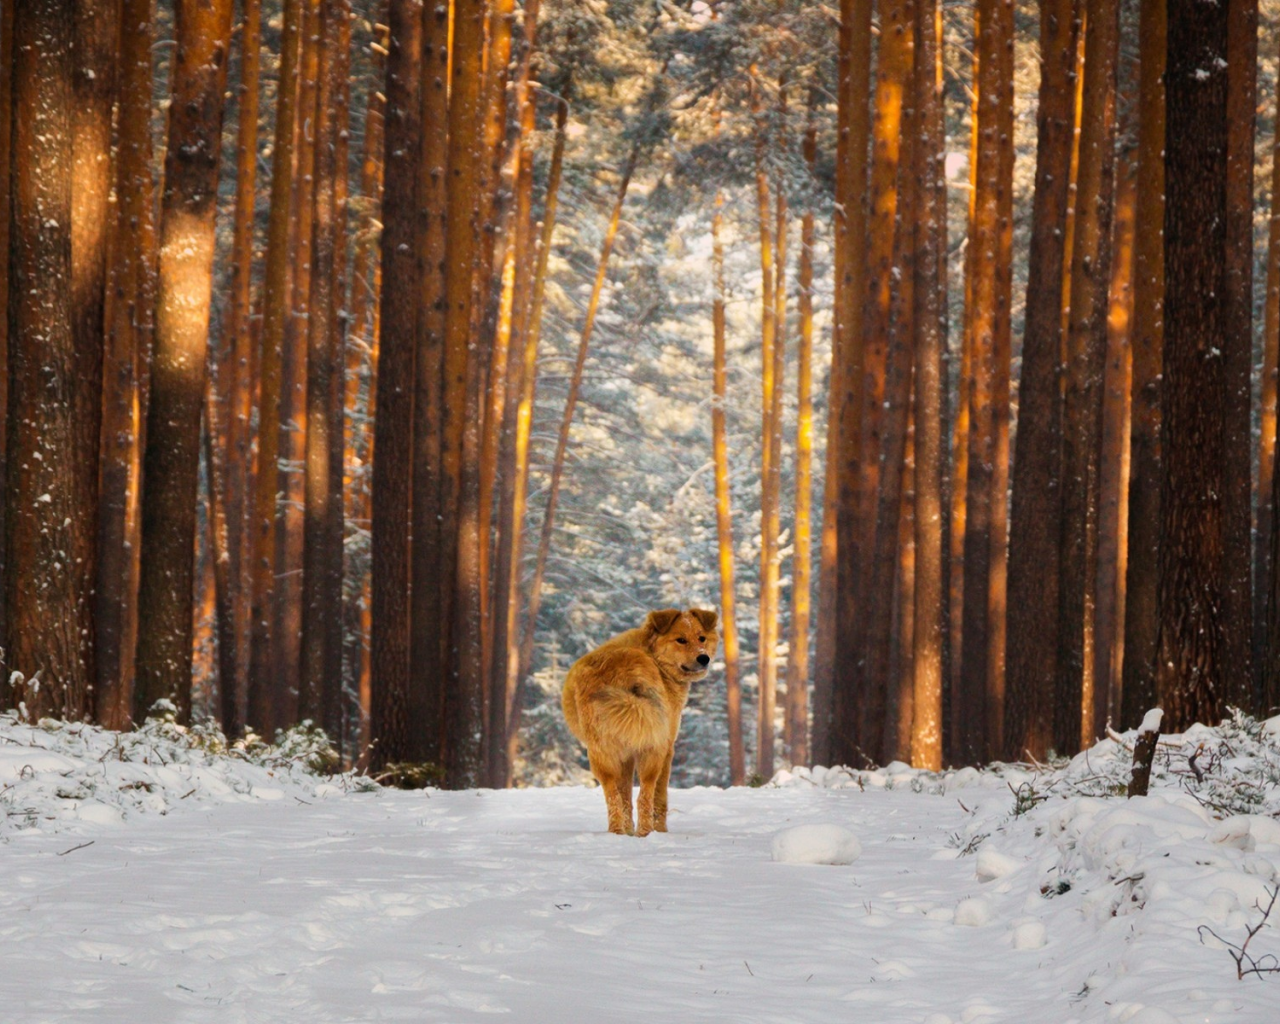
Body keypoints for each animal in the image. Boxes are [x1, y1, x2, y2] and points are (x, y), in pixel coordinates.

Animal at [563, 609, 721, 829]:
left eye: (701, 638)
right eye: (681, 640)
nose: (703, 658)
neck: (653, 656)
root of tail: (624, 670)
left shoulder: (627, 755)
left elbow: (624, 797)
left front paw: (628, 830)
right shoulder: (667, 748)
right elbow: (659, 797)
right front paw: (660, 830)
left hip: (601, 755)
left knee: (613, 798)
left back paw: (617, 832)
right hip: (652, 750)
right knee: (644, 796)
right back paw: (646, 832)